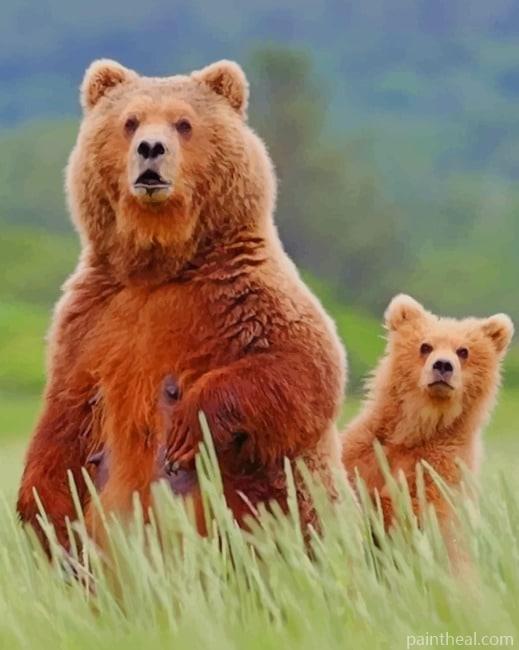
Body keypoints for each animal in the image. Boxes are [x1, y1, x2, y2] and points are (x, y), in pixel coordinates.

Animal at [17, 58, 347, 549]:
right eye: (130, 121)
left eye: (183, 123)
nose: (151, 148)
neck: (161, 266)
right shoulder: (91, 321)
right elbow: (64, 415)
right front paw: (41, 511)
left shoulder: (244, 294)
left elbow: (301, 369)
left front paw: (188, 427)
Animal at [342, 294, 513, 557]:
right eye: (425, 346)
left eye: (463, 351)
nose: (443, 365)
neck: (418, 426)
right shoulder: (366, 450)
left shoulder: (442, 471)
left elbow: (420, 515)